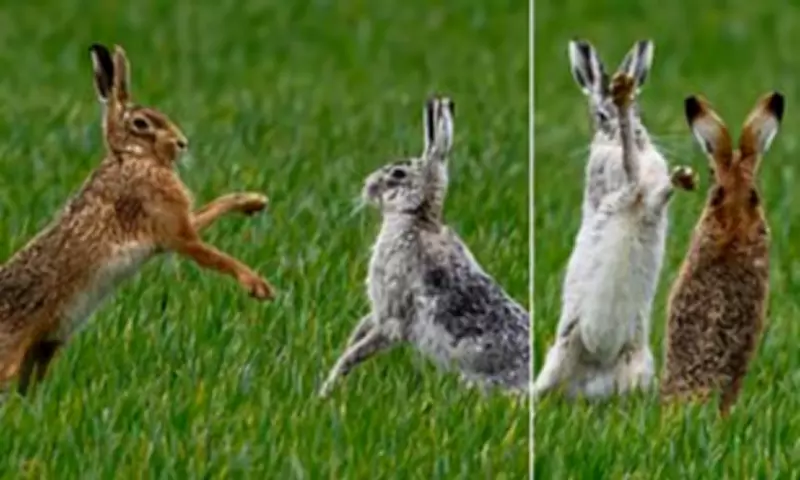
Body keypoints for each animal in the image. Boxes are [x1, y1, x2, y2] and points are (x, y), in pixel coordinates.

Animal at [0, 43, 275, 396]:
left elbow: (211, 210)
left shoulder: (176, 223)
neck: (132, 157)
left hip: (45, 347)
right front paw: (259, 286)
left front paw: (254, 202)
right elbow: (215, 256)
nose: (182, 143)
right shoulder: (177, 233)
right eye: (141, 123)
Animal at [318, 96, 530, 398]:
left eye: (398, 173)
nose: (366, 185)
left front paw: (326, 389)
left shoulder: (393, 316)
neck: (416, 219)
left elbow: (360, 350)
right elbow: (361, 330)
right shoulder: (380, 311)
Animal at [533, 39, 696, 401]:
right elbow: (631, 182)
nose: (633, 132)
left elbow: (657, 193)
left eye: (641, 112)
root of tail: (589, 382)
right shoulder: (612, 194)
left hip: (638, 360)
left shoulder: (651, 205)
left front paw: (681, 177)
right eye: (600, 116)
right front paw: (628, 151)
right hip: (562, 349)